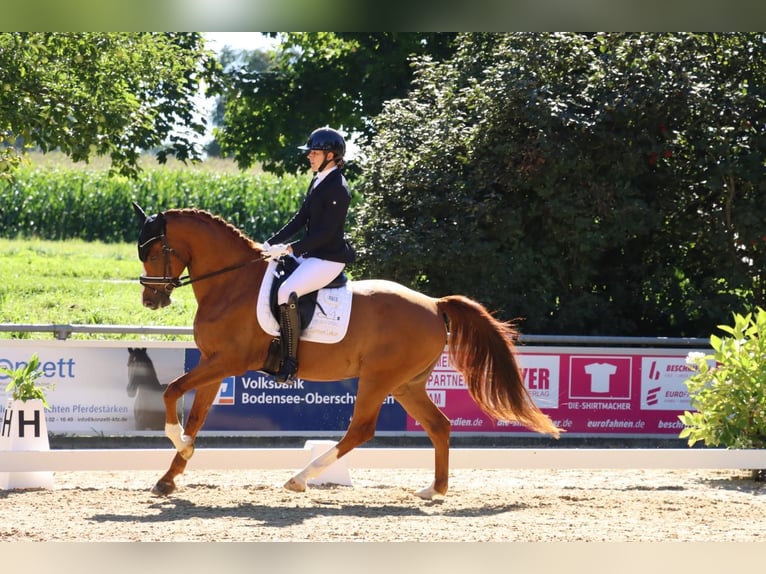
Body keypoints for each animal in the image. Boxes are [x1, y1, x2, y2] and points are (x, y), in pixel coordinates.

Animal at [132, 203, 561, 499]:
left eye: (153, 253)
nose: (151, 301)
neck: (231, 284)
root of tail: (434, 304)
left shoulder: (229, 361)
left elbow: (173, 392)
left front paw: (179, 446)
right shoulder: (214, 364)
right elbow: (196, 417)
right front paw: (171, 475)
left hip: (378, 378)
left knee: (362, 429)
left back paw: (300, 478)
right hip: (406, 384)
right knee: (439, 425)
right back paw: (434, 490)